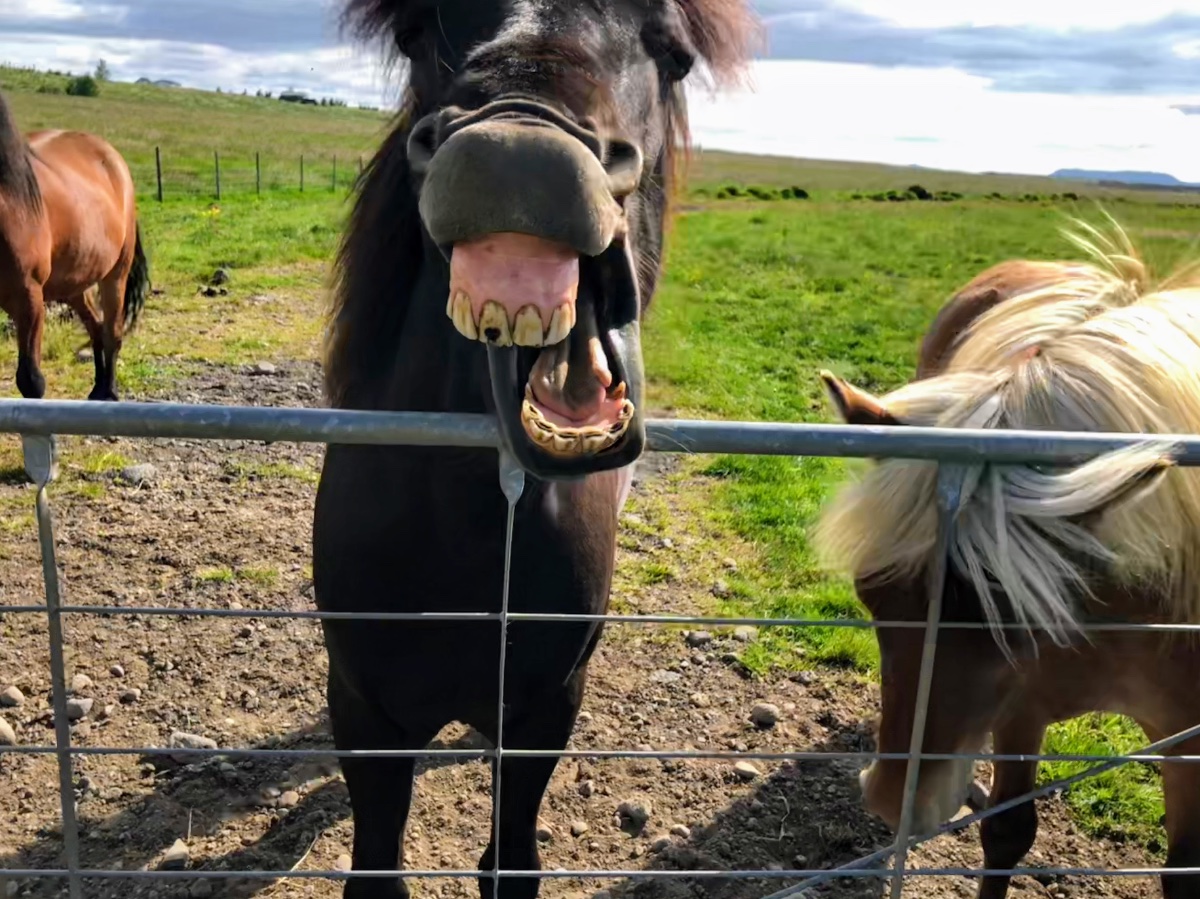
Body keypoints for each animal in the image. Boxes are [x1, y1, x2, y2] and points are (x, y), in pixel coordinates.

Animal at [0, 90, 149, 401]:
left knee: (112, 332)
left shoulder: (29, 296)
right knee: (96, 327)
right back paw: (98, 388)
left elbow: (31, 381)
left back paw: (109, 391)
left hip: (115, 274)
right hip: (74, 284)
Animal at [311, 2, 757, 898]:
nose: (519, 153)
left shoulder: (545, 707)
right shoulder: (365, 707)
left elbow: (509, 857)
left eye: (674, 53)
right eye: (415, 32)